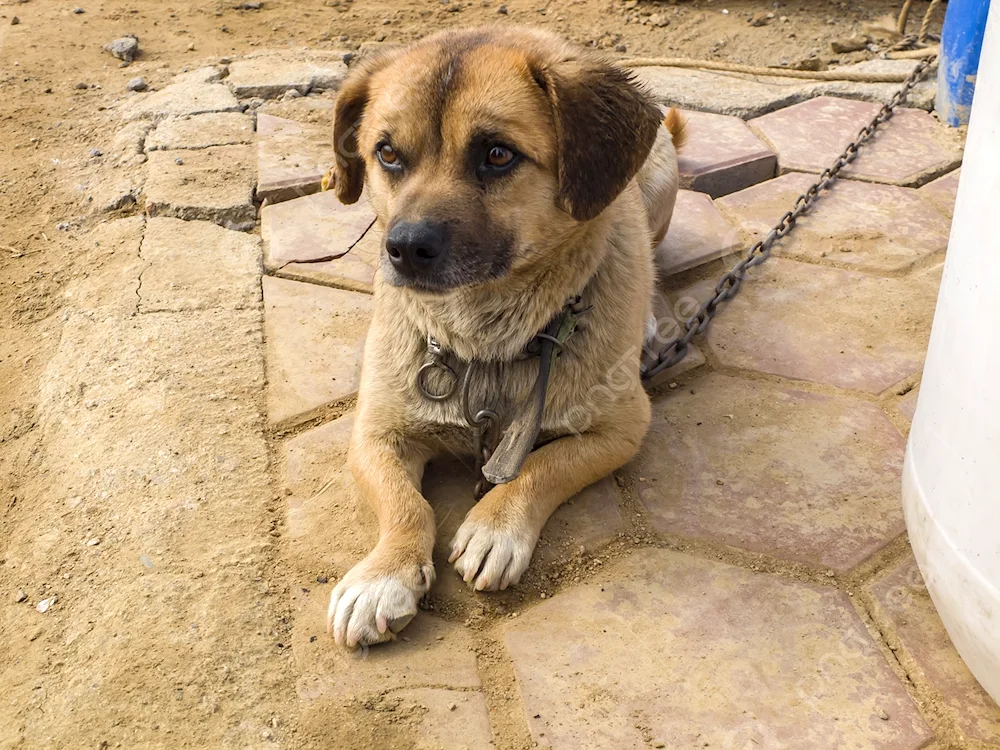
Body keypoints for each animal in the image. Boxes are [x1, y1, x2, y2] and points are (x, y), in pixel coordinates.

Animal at [324, 26, 684, 648]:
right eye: (387, 154)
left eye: (497, 154)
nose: (404, 249)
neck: (482, 338)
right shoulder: (374, 434)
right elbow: (404, 505)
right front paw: (383, 574)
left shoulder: (623, 428)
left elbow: (546, 465)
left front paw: (496, 526)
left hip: (660, 182)